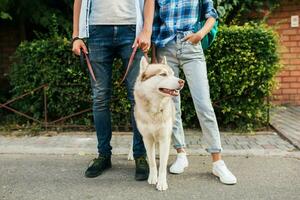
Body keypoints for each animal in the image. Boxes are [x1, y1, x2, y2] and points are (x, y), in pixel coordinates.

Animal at [134, 56, 185, 191]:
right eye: (163, 74)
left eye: (173, 74)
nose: (182, 81)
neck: (154, 110)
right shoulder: (147, 138)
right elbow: (152, 161)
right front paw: (152, 178)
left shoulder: (164, 139)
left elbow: (162, 164)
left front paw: (161, 183)